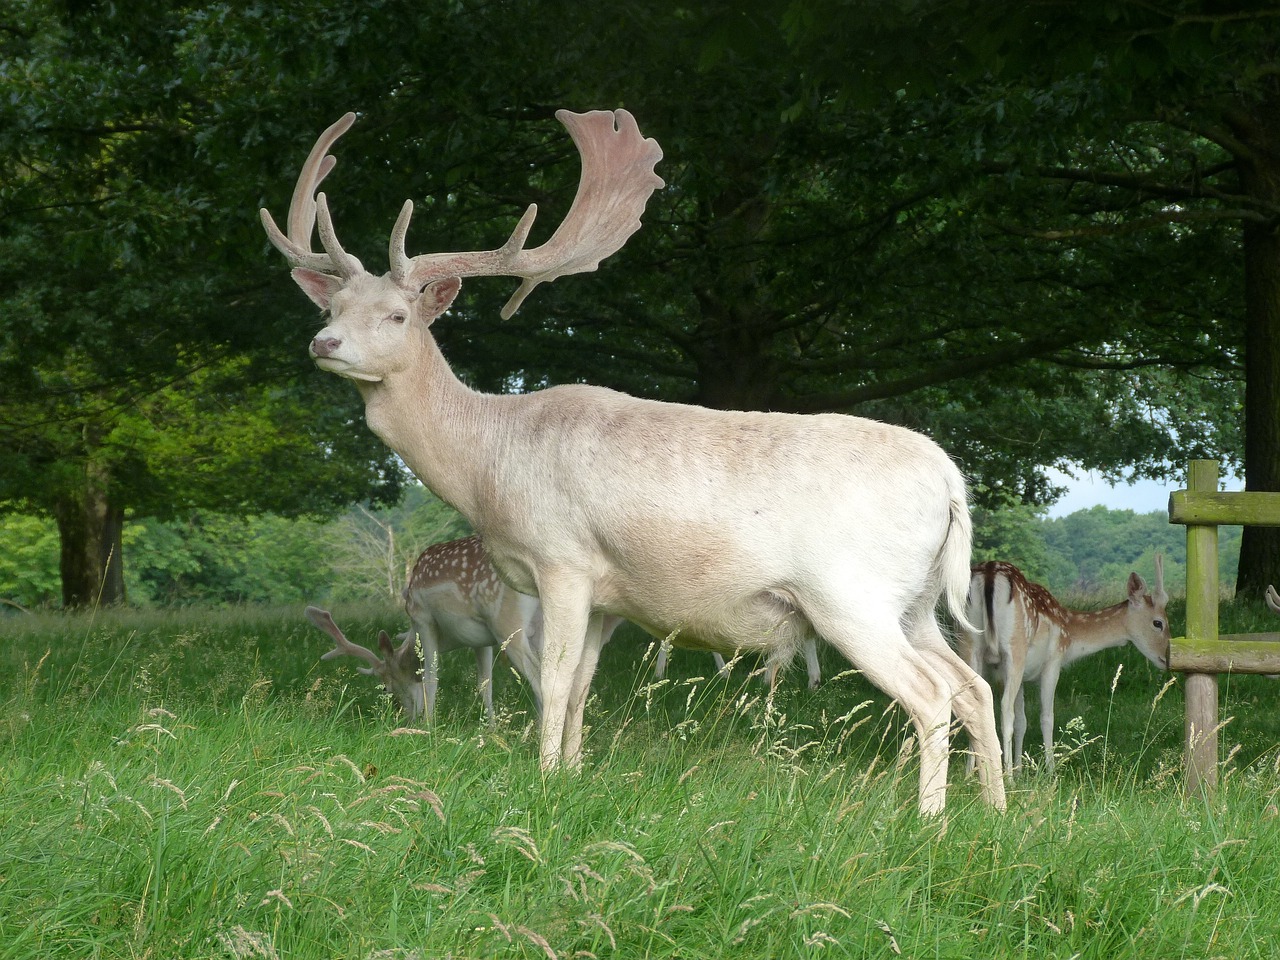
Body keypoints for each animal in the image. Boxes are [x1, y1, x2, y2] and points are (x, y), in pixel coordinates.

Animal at [262, 108, 1008, 814]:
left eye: (397, 316)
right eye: (331, 306)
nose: (324, 343)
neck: (488, 464)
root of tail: (950, 482)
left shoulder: (562, 559)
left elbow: (552, 679)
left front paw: (539, 780)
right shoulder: (606, 595)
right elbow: (582, 688)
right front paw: (571, 773)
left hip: (850, 593)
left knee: (931, 692)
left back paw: (930, 820)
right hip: (916, 602)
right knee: (974, 686)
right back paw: (997, 811)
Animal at [962, 560, 1172, 778]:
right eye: (1158, 623)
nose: (1167, 658)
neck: (1069, 632)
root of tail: (990, 573)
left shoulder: (1019, 677)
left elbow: (1022, 721)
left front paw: (1020, 771)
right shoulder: (1053, 661)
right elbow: (1046, 717)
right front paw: (1050, 772)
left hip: (969, 643)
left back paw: (970, 775)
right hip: (1015, 648)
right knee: (1004, 708)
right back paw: (1006, 778)